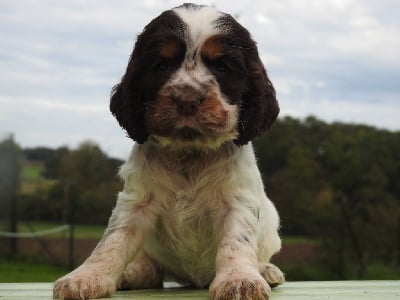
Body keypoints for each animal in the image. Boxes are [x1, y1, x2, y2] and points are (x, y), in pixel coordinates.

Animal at [54, 2, 284, 300]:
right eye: (162, 65)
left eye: (222, 66)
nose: (187, 99)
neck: (189, 152)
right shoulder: (136, 201)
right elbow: (113, 239)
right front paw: (85, 277)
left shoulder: (236, 201)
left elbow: (236, 241)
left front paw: (240, 280)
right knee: (151, 269)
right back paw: (130, 274)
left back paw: (267, 270)